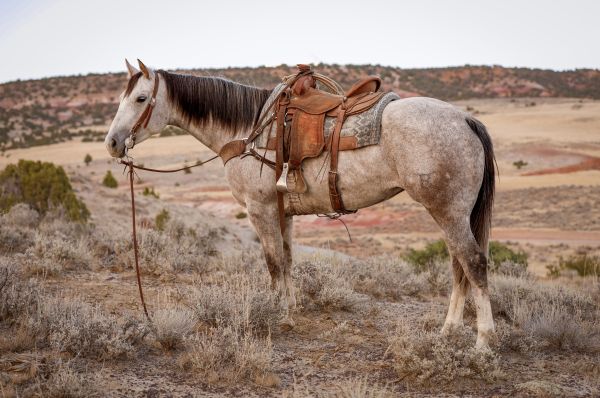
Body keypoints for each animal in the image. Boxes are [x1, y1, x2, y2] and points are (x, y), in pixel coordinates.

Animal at [104, 59, 496, 348]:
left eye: (141, 99)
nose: (112, 142)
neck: (248, 131)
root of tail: (466, 119)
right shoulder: (285, 212)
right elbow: (289, 259)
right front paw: (291, 308)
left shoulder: (260, 210)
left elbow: (273, 262)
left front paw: (277, 313)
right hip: (452, 213)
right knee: (458, 265)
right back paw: (448, 331)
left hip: (447, 210)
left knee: (473, 263)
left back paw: (483, 342)